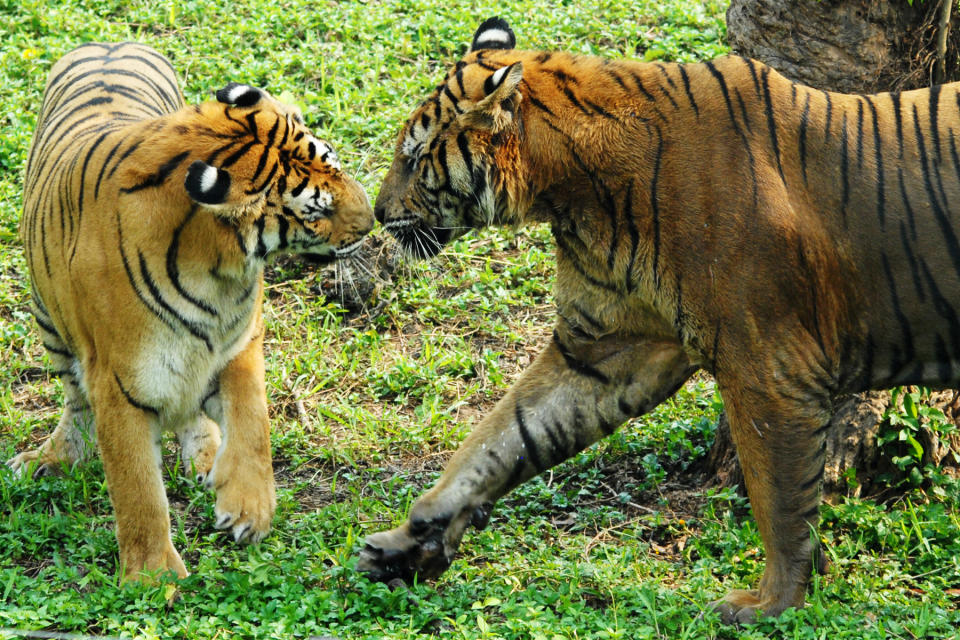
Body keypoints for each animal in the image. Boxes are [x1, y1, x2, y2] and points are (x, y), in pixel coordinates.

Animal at [9, 41, 376, 580]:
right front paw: (152, 578)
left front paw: (247, 510)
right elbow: (138, 488)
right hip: (50, 320)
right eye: (315, 210)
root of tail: (110, 43)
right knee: (76, 401)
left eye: (335, 161)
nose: (373, 222)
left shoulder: (238, 343)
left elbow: (253, 422)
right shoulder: (118, 383)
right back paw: (51, 457)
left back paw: (205, 457)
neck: (217, 271)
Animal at [358, 15, 960, 624]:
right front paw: (410, 539)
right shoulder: (606, 348)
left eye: (414, 158)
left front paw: (771, 604)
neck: (570, 192)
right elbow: (503, 437)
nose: (379, 215)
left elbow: (780, 499)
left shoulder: (769, 369)